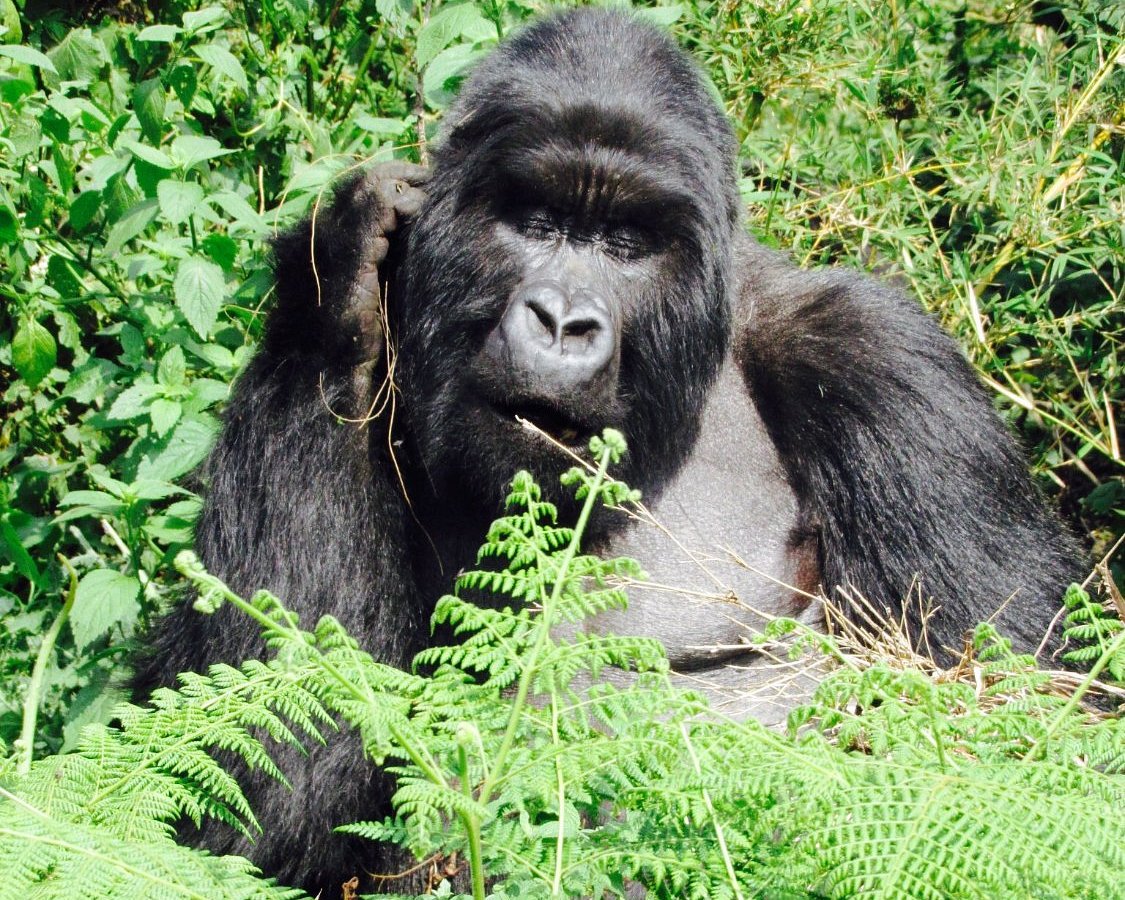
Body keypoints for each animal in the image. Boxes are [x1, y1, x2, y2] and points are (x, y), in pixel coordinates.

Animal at [136, 5, 1084, 891]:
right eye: (535, 222)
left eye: (625, 244)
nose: (561, 321)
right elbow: (264, 798)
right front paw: (343, 281)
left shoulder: (882, 363)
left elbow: (1018, 748)